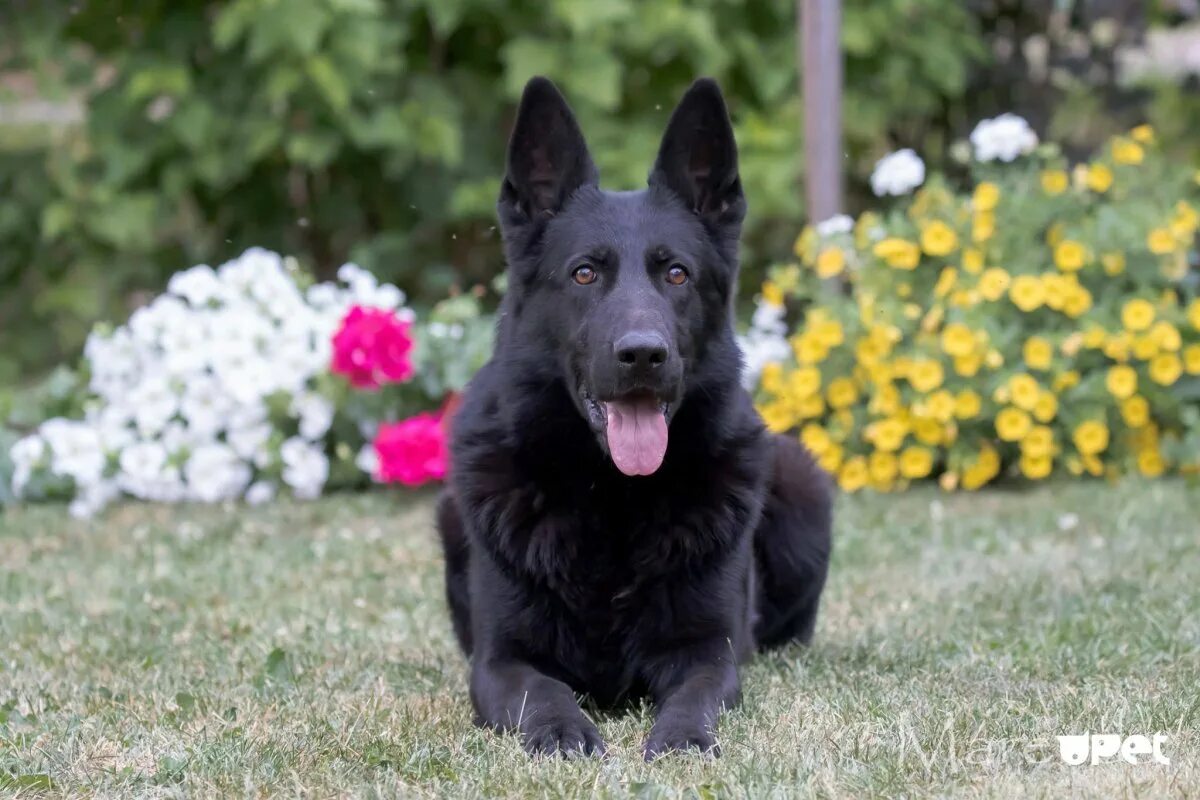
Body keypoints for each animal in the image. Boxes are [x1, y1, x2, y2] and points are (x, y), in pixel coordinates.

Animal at [436, 77, 830, 762]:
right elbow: (542, 692)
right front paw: (562, 732)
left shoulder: (709, 654)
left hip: (802, 481)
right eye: (584, 272)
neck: (611, 495)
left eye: (676, 273)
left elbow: (694, 697)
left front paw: (681, 739)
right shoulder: (500, 662)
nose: (643, 354)